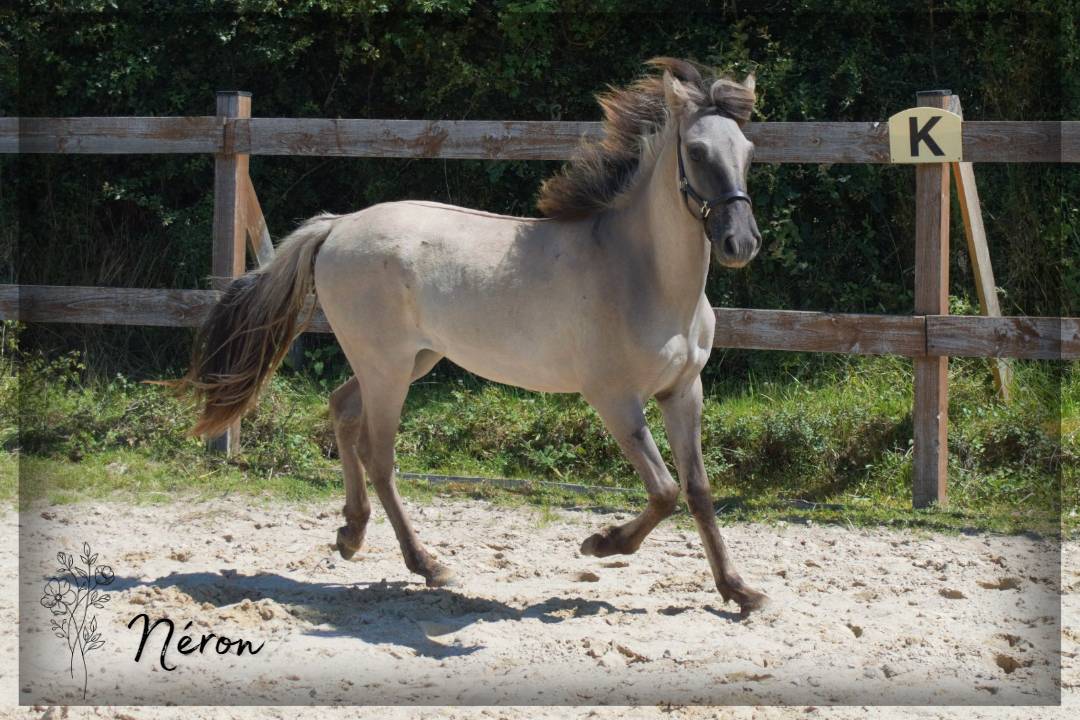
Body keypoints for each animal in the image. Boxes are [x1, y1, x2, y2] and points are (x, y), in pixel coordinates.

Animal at [171, 57, 768, 616]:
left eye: (747, 150)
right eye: (695, 151)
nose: (740, 243)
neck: (643, 275)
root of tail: (337, 225)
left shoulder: (682, 391)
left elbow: (698, 490)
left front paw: (740, 590)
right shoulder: (614, 399)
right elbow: (665, 491)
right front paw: (600, 544)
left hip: (407, 360)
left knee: (342, 410)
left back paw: (351, 534)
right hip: (389, 367)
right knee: (378, 453)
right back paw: (428, 564)